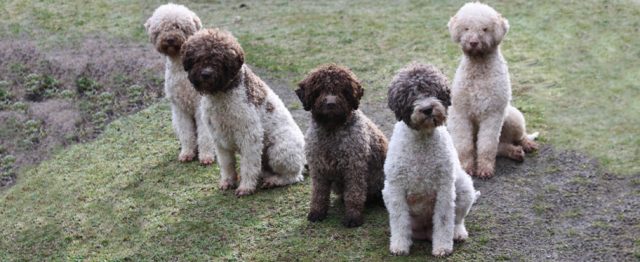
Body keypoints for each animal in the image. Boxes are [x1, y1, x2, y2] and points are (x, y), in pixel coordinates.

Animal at [144, 3, 216, 164]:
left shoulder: (200, 106)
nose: (170, 39)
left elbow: (205, 134)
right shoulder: (179, 108)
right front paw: (187, 153)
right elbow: (186, 133)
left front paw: (206, 156)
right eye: (162, 28)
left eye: (178, 26)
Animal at [181, 28, 306, 196]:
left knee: (294, 176)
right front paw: (228, 182)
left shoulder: (250, 135)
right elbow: (226, 164)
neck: (222, 93)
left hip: (278, 150)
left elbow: (248, 164)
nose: (206, 74)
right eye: (198, 57)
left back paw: (274, 181)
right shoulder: (219, 137)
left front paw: (245, 187)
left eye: (219, 58)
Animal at [296, 64, 390, 227]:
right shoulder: (318, 168)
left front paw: (353, 217)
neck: (332, 131)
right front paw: (317, 212)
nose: (331, 104)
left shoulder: (354, 168)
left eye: (342, 89)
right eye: (319, 89)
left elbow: (354, 195)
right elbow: (318, 194)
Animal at [382, 64, 478, 258]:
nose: (427, 109)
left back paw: (458, 233)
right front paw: (399, 245)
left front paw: (442, 247)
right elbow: (399, 220)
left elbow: (444, 219)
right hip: (386, 192)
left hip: (464, 187)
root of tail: (426, 231)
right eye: (411, 94)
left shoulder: (444, 188)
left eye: (432, 90)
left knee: (457, 219)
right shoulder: (396, 188)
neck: (422, 141)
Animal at [448, 1, 536, 178]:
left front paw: (484, 169)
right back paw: (515, 152)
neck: (479, 66)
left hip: (512, 117)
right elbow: (465, 145)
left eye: (485, 29)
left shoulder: (493, 114)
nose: (473, 42)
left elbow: (487, 145)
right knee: (500, 147)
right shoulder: (460, 113)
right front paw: (467, 168)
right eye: (466, 28)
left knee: (514, 138)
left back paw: (526, 144)